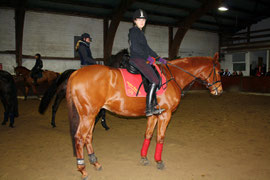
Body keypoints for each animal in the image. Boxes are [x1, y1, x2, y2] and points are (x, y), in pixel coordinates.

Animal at [66, 52, 223, 179]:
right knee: (79, 138)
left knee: (88, 137)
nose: (219, 91)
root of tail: (76, 73)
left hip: (91, 114)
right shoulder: (165, 114)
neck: (172, 76)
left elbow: (148, 135)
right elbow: (160, 137)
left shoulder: (153, 115)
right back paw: (83, 170)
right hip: (88, 114)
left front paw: (144, 157)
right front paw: (159, 161)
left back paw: (96, 163)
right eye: (219, 71)